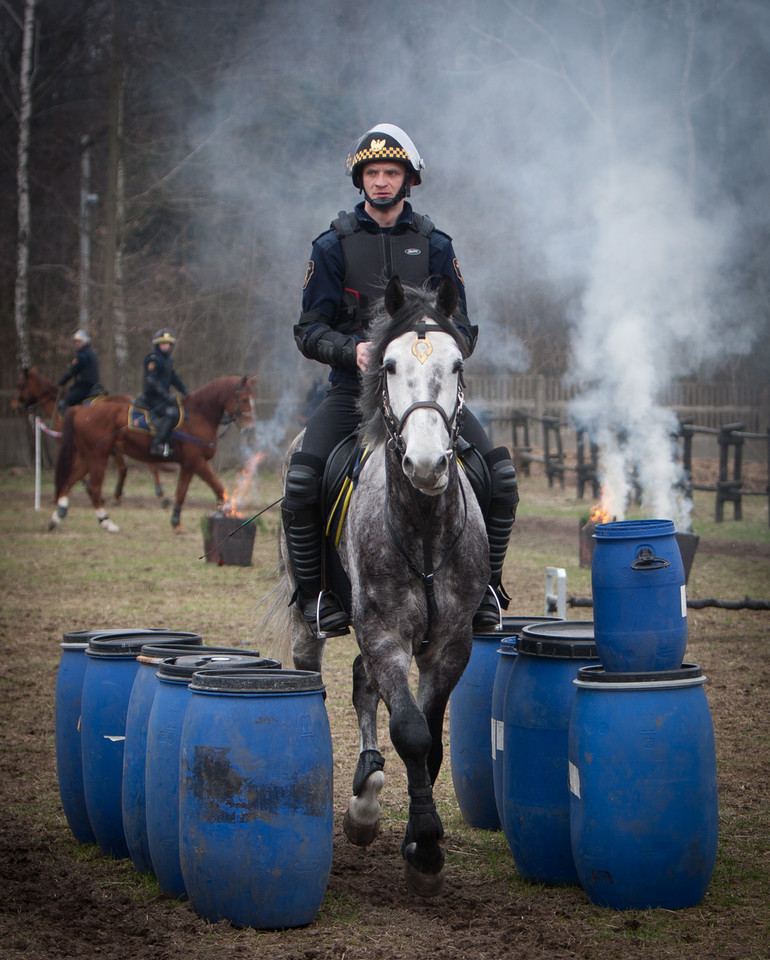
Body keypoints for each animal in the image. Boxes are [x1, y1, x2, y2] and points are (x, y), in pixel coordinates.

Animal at [10, 366, 167, 506]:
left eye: (20, 385)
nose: (14, 406)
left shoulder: (65, 444)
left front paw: (60, 494)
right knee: (128, 468)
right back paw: (122, 496)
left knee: (136, 467)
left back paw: (157, 494)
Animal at [49, 376, 256, 536]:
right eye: (244, 399)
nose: (249, 428)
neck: (199, 416)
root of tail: (81, 410)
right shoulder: (197, 462)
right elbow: (218, 488)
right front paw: (225, 511)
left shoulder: (188, 465)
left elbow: (181, 494)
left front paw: (176, 523)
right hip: (97, 457)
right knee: (93, 488)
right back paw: (106, 522)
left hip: (87, 457)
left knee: (69, 481)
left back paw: (57, 517)